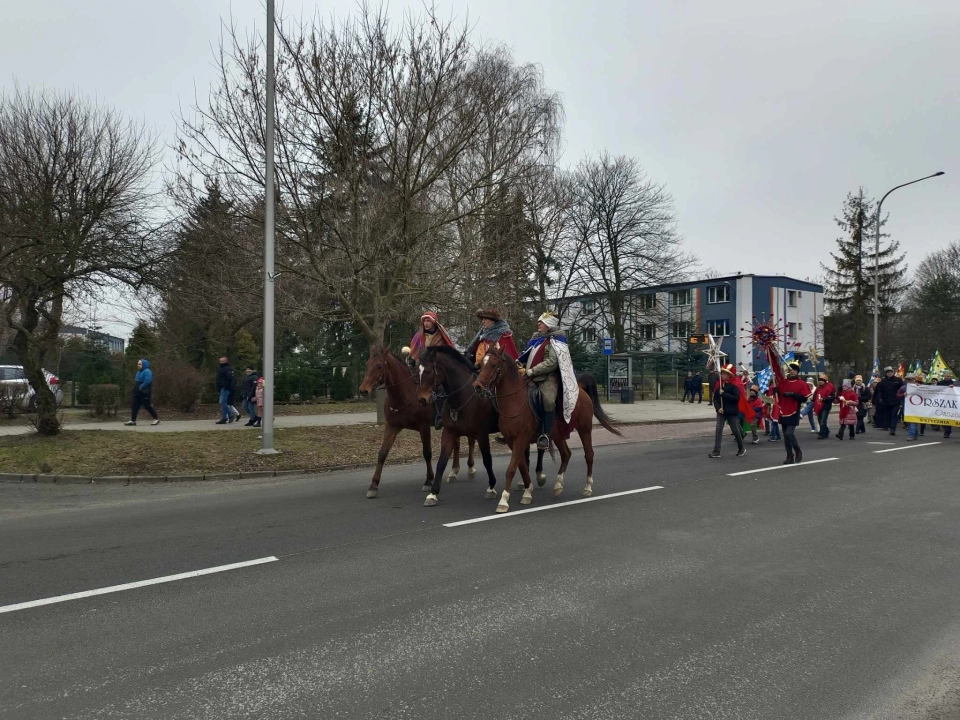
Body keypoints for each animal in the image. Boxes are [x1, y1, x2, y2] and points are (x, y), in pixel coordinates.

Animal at [358, 348, 474, 500]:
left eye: (379, 366)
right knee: (457, 443)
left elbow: (427, 453)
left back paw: (470, 468)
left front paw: (429, 480)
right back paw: (454, 471)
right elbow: (382, 453)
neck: (405, 394)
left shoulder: (424, 427)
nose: (363, 390)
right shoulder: (392, 427)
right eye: (367, 364)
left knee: (471, 440)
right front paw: (373, 485)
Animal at [472, 348, 624, 512]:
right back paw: (558, 485)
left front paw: (503, 501)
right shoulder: (512, 442)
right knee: (566, 454)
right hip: (558, 435)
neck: (515, 401)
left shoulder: (520, 440)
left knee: (589, 455)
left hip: (585, 429)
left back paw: (588, 487)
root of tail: (581, 389)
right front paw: (528, 491)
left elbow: (511, 469)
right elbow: (522, 466)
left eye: (493, 364)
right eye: (480, 365)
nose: (477, 386)